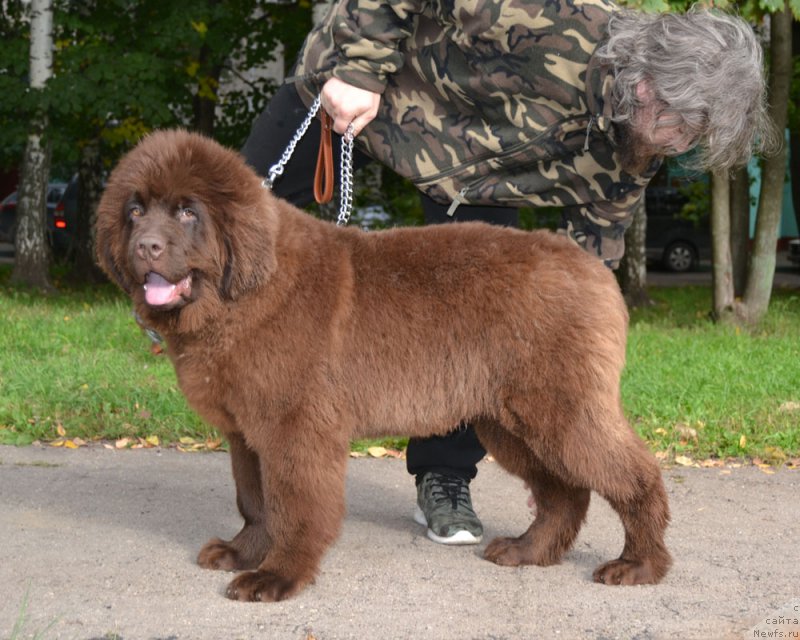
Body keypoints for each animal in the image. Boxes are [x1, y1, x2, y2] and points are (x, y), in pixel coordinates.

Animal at [94, 129, 668, 600]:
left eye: (188, 211)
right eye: (135, 211)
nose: (146, 246)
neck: (242, 296)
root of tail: (592, 266)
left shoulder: (296, 425)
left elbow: (293, 504)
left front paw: (278, 576)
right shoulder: (247, 431)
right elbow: (254, 500)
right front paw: (242, 554)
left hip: (558, 407)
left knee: (633, 475)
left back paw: (638, 565)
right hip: (508, 420)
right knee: (562, 489)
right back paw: (529, 551)